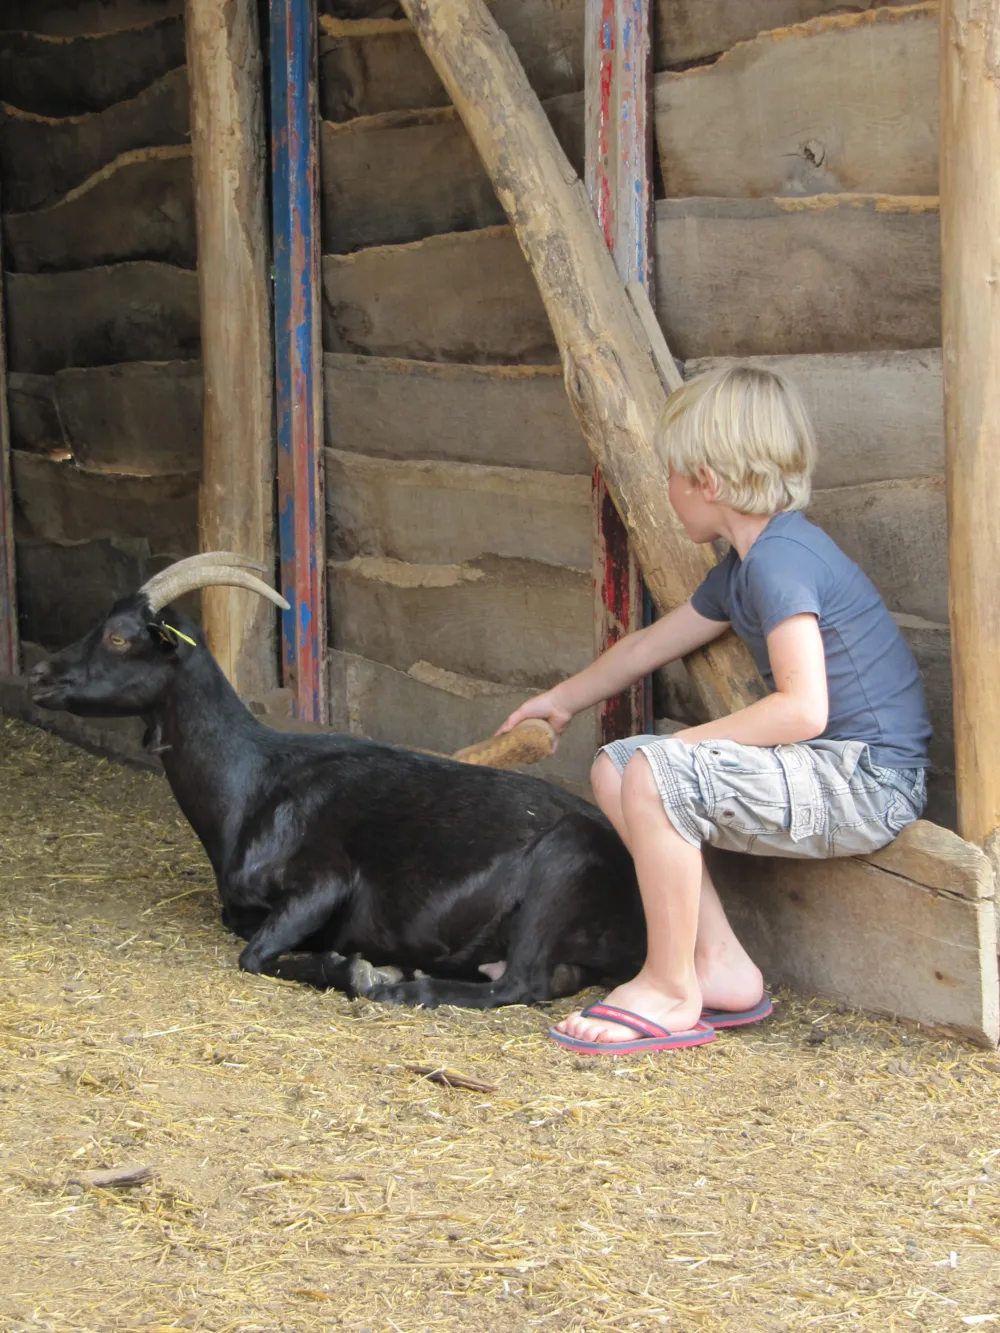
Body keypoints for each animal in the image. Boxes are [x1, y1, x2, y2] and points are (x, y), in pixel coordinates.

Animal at [31, 554, 645, 1007]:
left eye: (118, 637)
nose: (39, 675)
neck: (251, 785)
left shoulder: (322, 881)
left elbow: (253, 957)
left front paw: (358, 971)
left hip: (559, 870)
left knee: (522, 983)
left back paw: (402, 988)